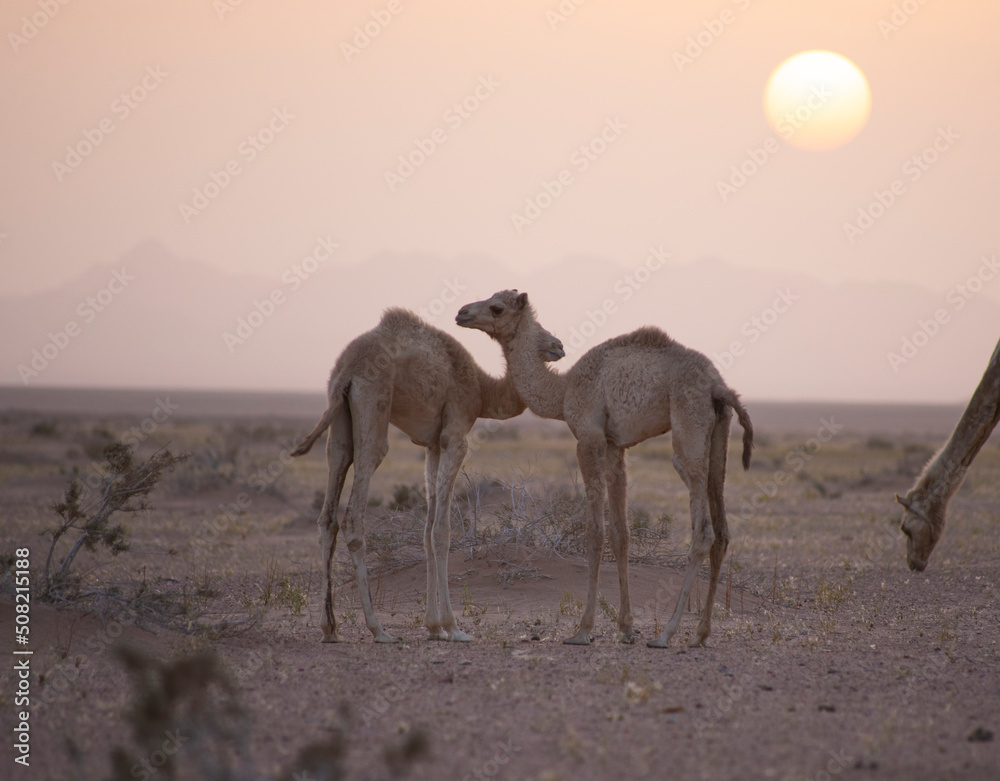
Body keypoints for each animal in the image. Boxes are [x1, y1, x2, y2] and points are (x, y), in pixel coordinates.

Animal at [292, 308, 568, 644]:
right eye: (535, 327)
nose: (558, 344)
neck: (482, 389)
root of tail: (348, 369)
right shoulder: (455, 435)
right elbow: (442, 530)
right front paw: (452, 627)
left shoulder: (433, 444)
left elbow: (426, 530)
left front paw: (434, 626)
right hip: (373, 402)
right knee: (355, 512)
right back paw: (378, 629)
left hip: (338, 416)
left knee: (328, 514)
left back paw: (329, 628)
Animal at [456, 292, 752, 644]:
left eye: (496, 307)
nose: (462, 312)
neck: (563, 391)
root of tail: (717, 385)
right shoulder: (614, 447)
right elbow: (620, 533)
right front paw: (625, 627)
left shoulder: (588, 438)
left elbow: (594, 532)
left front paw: (583, 629)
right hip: (720, 430)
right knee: (721, 530)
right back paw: (701, 634)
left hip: (688, 424)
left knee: (703, 529)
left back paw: (666, 633)